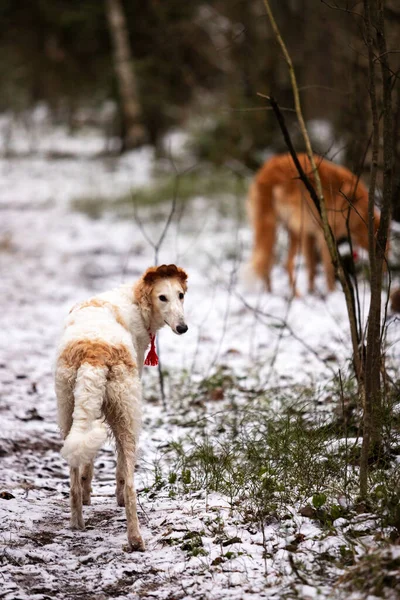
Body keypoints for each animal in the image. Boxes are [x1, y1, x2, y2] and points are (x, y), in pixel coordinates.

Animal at [54, 264, 189, 552]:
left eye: (181, 295)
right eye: (163, 297)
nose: (182, 327)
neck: (134, 299)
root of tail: (93, 353)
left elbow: (87, 463)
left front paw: (88, 493)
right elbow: (119, 471)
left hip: (67, 411)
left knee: (73, 477)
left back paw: (77, 523)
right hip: (127, 415)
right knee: (129, 485)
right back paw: (135, 538)